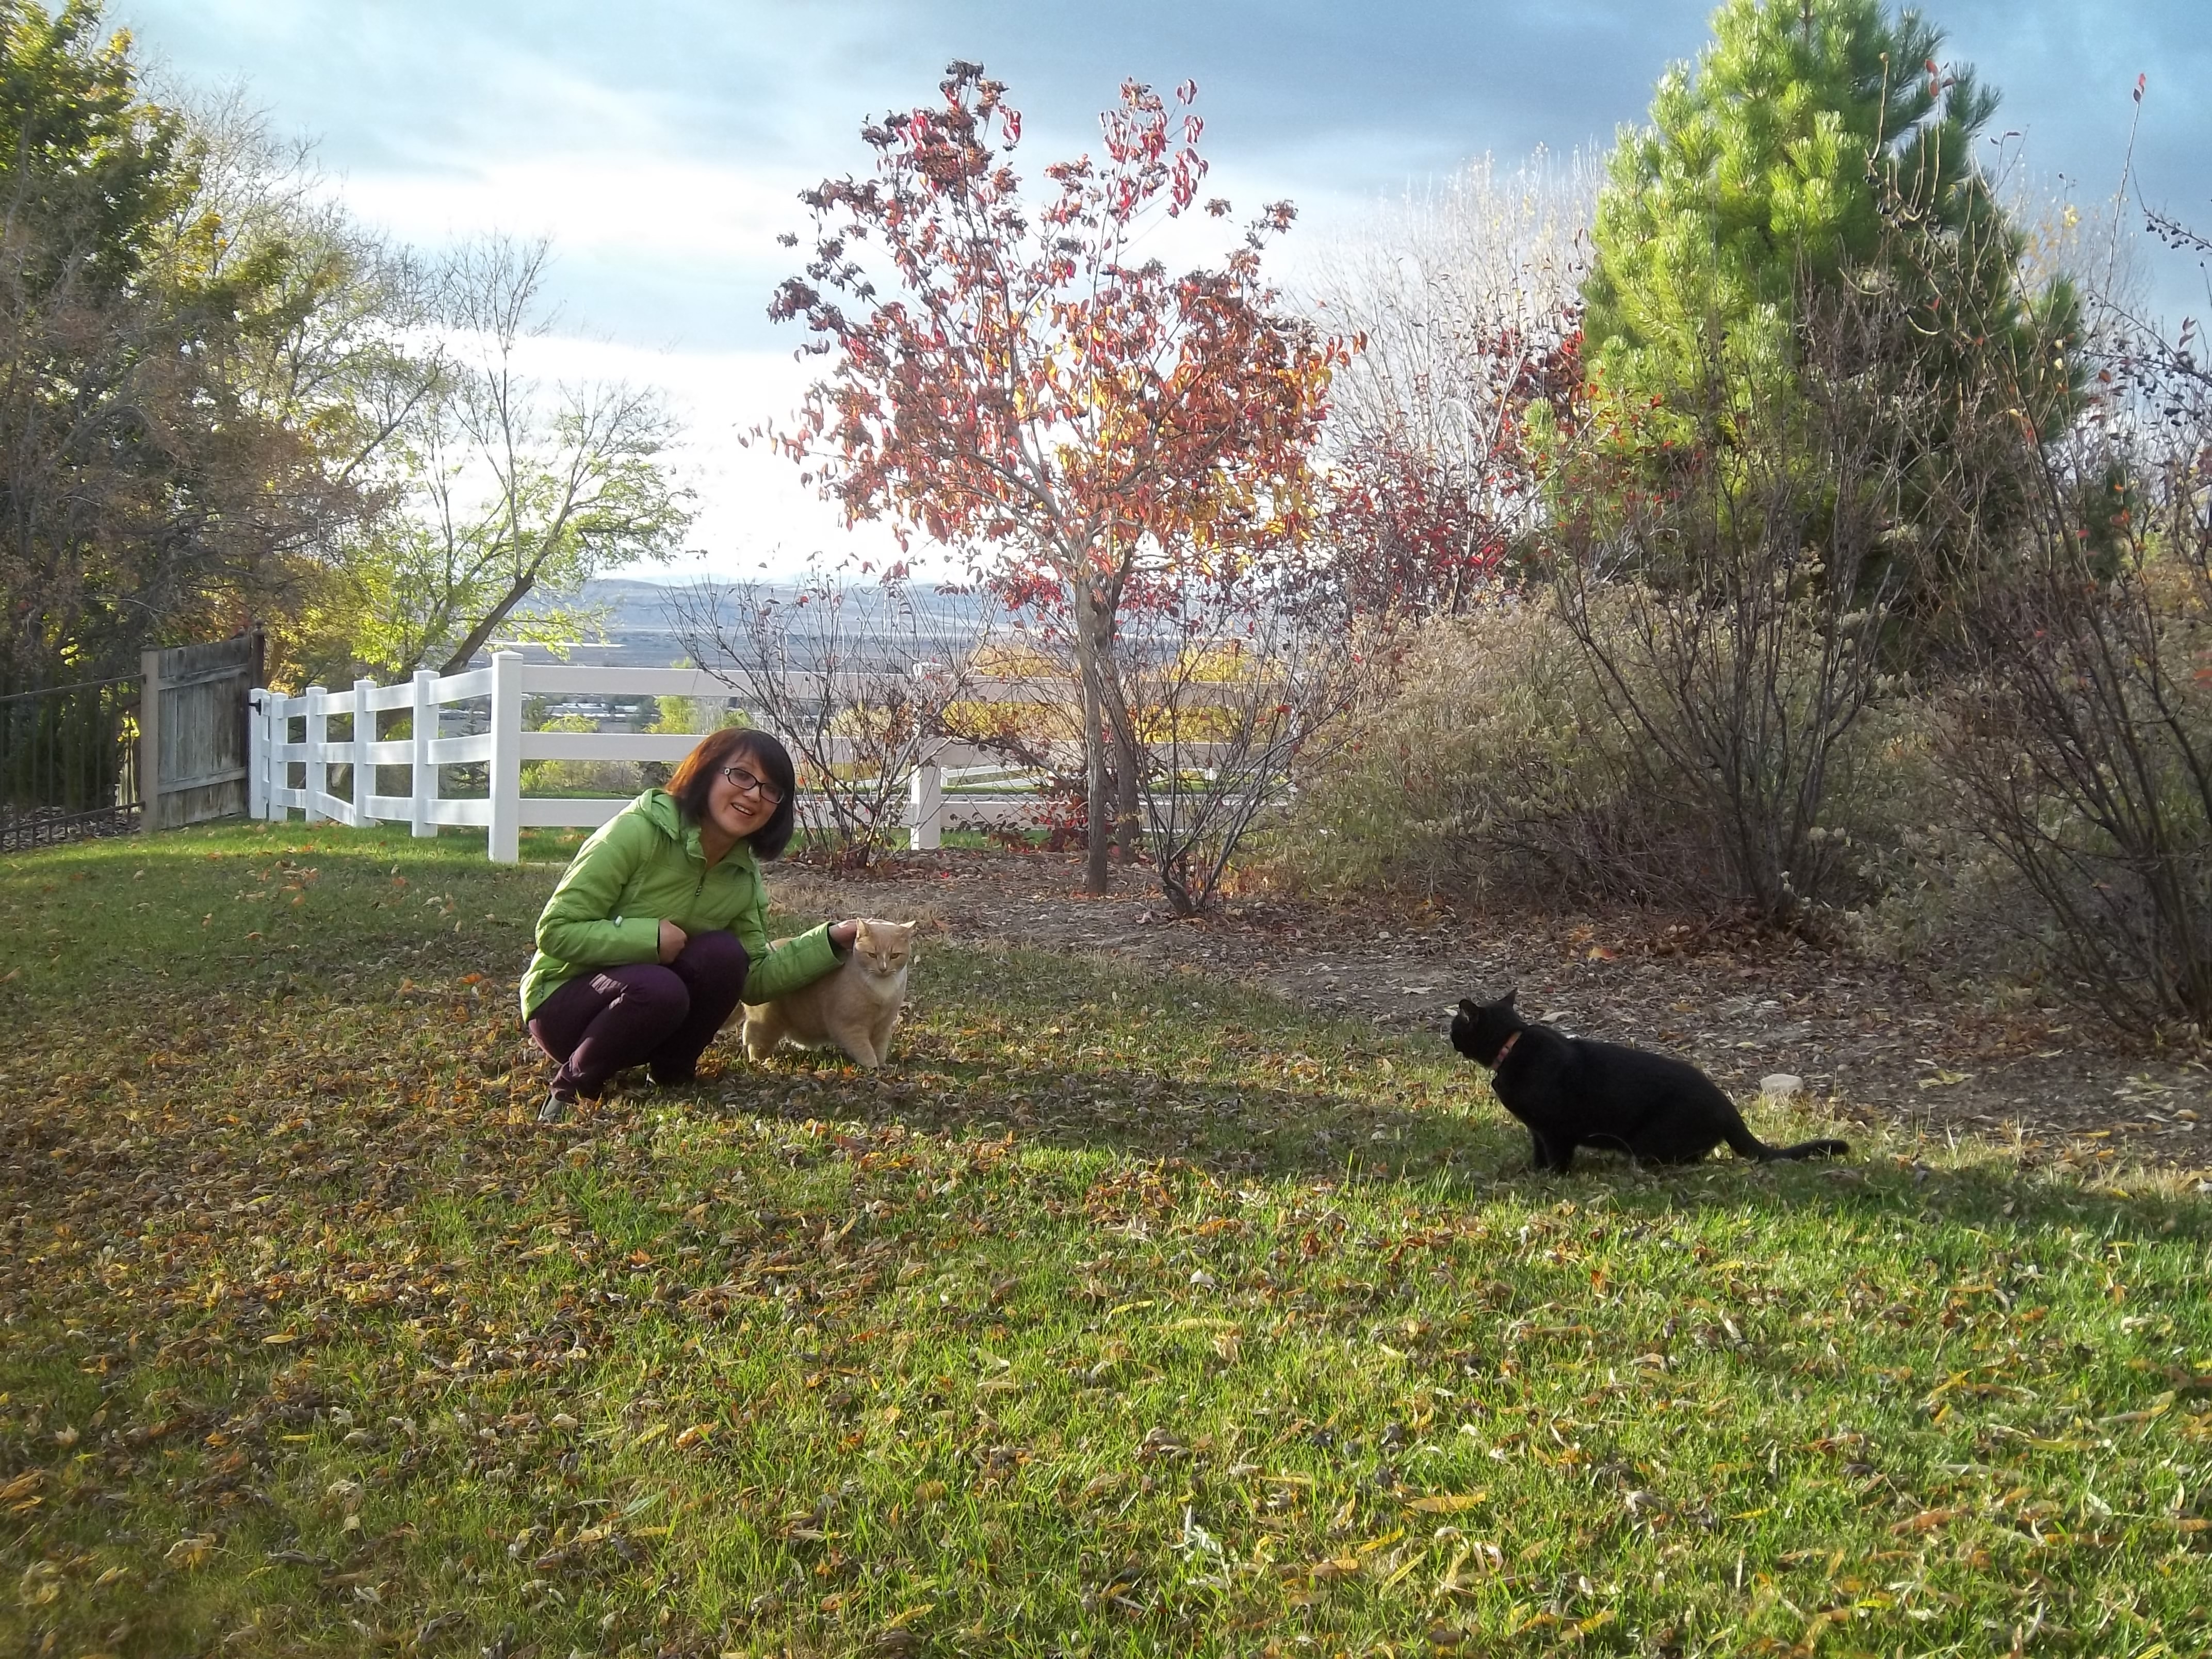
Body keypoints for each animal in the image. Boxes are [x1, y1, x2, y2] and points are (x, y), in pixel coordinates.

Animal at [741, 919, 915, 1069]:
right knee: (752, 1038)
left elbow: (880, 1048)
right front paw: (873, 1067)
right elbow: (864, 1050)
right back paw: (760, 1063)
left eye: (894, 956)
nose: (883, 968)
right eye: (872, 955)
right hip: (767, 1022)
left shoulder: (884, 1025)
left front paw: (882, 1065)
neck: (883, 990)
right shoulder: (850, 1026)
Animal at [1449, 989, 1849, 1173]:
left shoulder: (1555, 1129)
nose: (1449, 1035)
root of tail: (1728, 1107)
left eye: (1456, 1025)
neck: (1511, 1046)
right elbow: (1537, 1152)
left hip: (1650, 1142)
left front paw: (1552, 1177)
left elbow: (1558, 1157)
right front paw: (1534, 1171)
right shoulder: (1537, 1130)